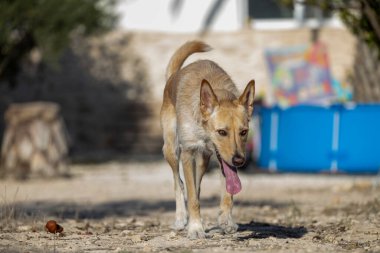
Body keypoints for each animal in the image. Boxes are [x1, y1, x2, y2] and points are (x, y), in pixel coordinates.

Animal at [160, 40, 255, 238]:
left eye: (243, 132)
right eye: (222, 132)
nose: (240, 160)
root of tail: (172, 77)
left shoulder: (225, 159)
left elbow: (227, 191)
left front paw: (226, 220)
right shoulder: (188, 153)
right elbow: (191, 196)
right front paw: (195, 228)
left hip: (203, 160)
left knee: (196, 187)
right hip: (171, 150)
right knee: (179, 183)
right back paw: (181, 218)